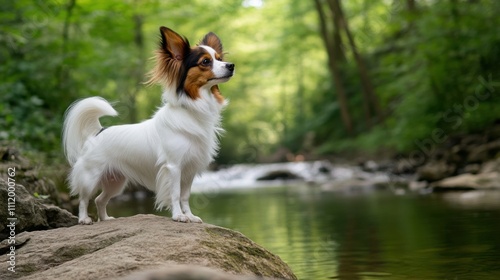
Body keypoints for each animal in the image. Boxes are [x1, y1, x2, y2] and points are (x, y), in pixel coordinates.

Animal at [62, 25, 234, 223]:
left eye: (220, 59)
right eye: (205, 62)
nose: (231, 65)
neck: (193, 109)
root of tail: (98, 131)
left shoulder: (189, 170)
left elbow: (185, 196)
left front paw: (190, 216)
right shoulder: (174, 167)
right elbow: (175, 194)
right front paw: (179, 216)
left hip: (115, 181)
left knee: (99, 199)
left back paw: (105, 219)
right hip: (91, 177)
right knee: (83, 198)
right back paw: (84, 219)